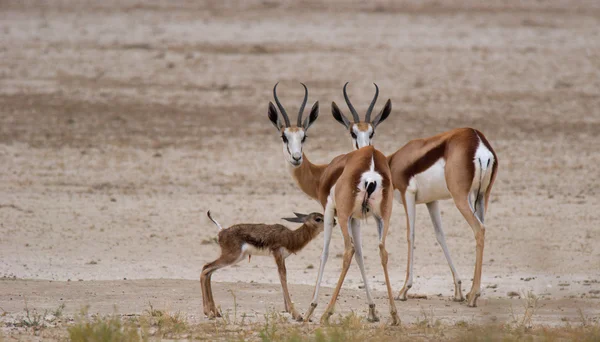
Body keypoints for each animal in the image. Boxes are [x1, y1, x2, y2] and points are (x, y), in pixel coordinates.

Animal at [266, 83, 398, 324]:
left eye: (304, 136)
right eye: (284, 136)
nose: (296, 158)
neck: (323, 173)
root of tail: (371, 160)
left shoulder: (330, 211)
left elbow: (326, 253)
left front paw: (310, 309)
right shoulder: (356, 218)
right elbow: (362, 256)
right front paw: (372, 311)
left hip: (344, 217)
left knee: (348, 251)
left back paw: (325, 313)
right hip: (382, 216)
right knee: (382, 251)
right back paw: (394, 315)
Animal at [332, 83, 496, 308]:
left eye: (372, 131)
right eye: (353, 132)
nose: (365, 150)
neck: (392, 162)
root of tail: (478, 141)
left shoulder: (407, 194)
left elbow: (411, 235)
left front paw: (404, 290)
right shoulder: (431, 201)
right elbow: (440, 235)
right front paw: (458, 290)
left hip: (462, 198)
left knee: (479, 229)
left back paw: (473, 296)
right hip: (481, 196)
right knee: (482, 228)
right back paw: (471, 293)